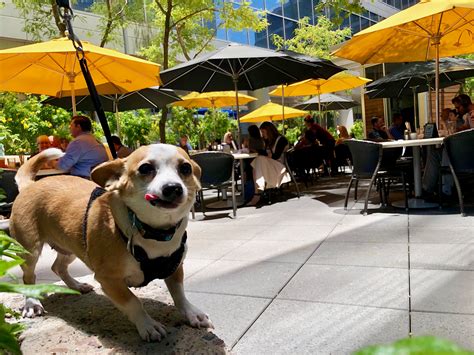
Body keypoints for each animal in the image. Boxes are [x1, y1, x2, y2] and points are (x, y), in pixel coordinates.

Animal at [9, 144, 213, 342]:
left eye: (185, 168)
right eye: (145, 168)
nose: (173, 187)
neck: (155, 232)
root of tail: (31, 185)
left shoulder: (175, 268)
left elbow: (179, 293)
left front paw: (192, 313)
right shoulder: (109, 280)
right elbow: (133, 302)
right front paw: (147, 325)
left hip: (72, 248)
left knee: (57, 267)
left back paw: (77, 286)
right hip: (30, 251)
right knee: (28, 277)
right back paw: (32, 303)